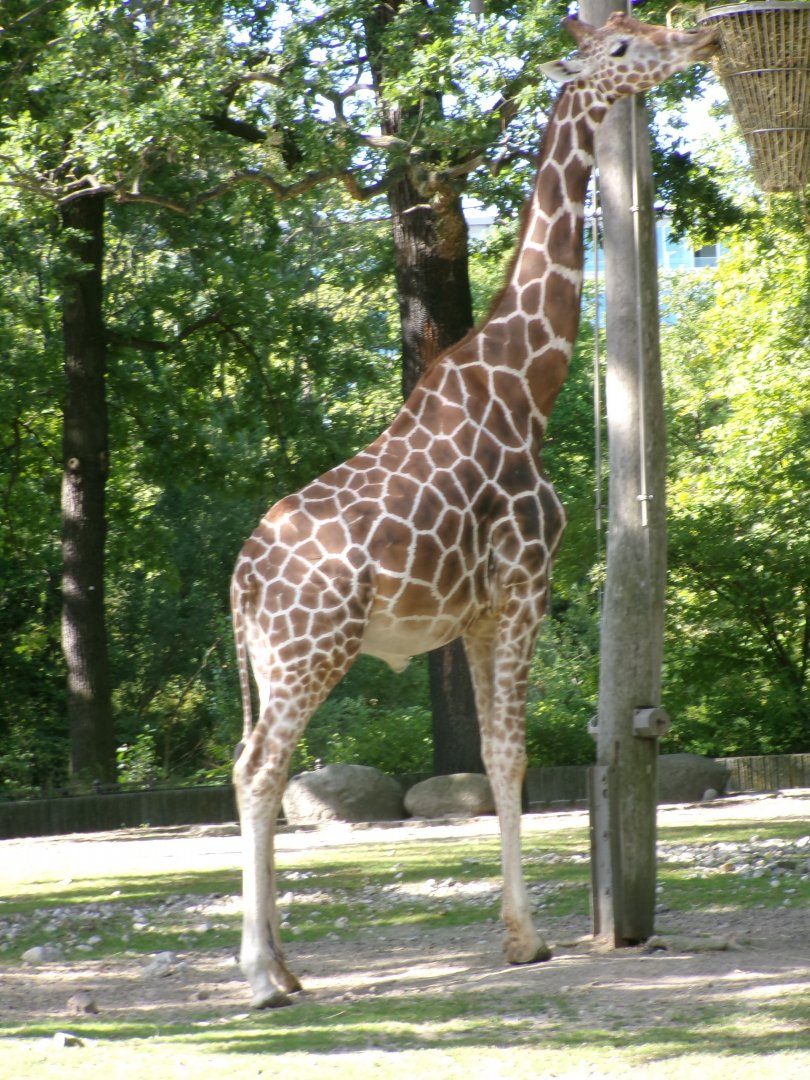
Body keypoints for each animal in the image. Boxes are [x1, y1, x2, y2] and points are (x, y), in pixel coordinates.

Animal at [231, 13, 718, 1008]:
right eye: (621, 49)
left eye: (642, 26)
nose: (698, 40)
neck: (528, 389)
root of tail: (242, 580)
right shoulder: (525, 584)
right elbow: (511, 757)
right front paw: (527, 939)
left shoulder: (479, 613)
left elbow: (497, 758)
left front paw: (519, 934)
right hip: (311, 648)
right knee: (257, 771)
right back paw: (259, 978)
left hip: (274, 659)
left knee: (259, 767)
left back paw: (288, 968)